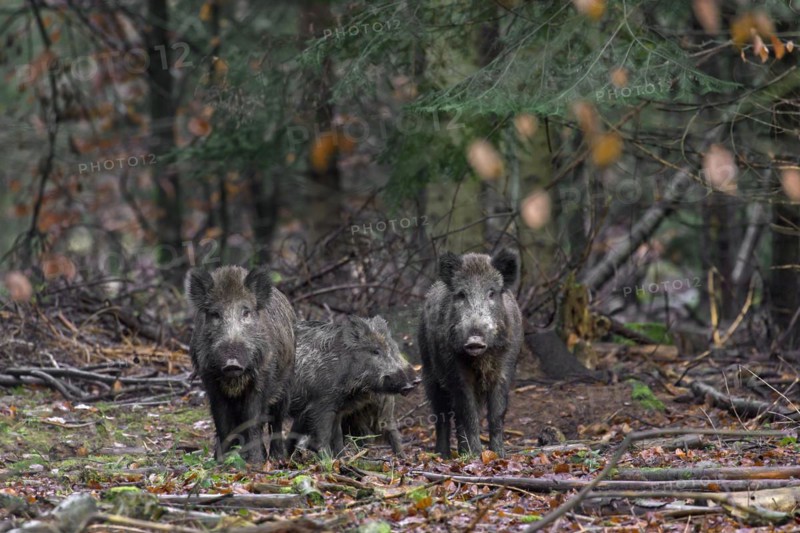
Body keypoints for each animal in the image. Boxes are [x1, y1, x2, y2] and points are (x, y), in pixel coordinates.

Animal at [185, 265, 296, 464]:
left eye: (246, 312)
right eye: (215, 314)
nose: (232, 363)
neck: (234, 380)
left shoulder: (262, 379)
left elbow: (253, 419)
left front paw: (256, 462)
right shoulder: (210, 382)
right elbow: (222, 421)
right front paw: (221, 460)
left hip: (287, 384)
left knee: (276, 420)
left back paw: (277, 458)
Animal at [287, 316, 418, 456]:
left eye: (390, 350)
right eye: (375, 351)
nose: (409, 386)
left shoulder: (338, 410)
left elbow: (337, 437)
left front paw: (342, 458)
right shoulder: (320, 404)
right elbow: (323, 437)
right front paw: (329, 460)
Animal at [418, 249, 523, 457]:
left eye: (491, 292)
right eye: (461, 294)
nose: (474, 340)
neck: (481, 358)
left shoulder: (505, 370)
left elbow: (497, 413)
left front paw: (499, 455)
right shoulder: (456, 372)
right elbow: (469, 414)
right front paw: (476, 455)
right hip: (429, 371)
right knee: (442, 415)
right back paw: (444, 455)